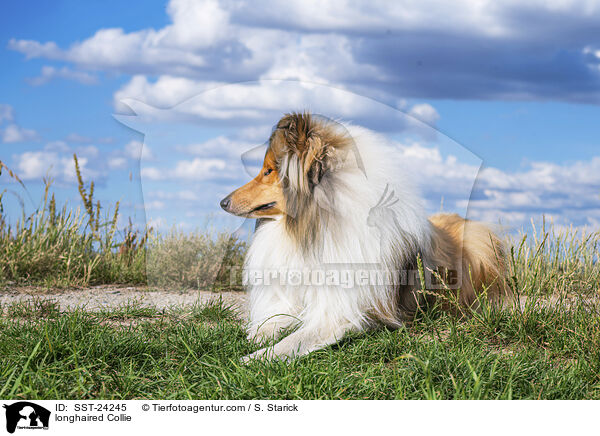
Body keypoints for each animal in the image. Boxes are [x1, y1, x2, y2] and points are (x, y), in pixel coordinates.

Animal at [218, 112, 508, 362]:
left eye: (268, 171)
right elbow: (268, 324)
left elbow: (295, 340)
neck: (310, 229)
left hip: (480, 242)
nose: (222, 202)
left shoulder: (344, 312)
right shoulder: (293, 300)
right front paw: (250, 338)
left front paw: (250, 359)